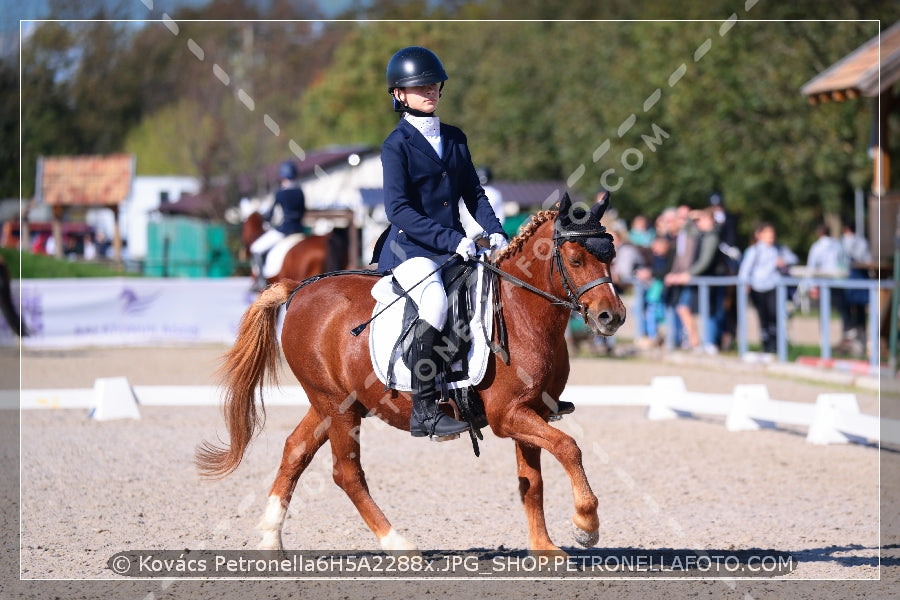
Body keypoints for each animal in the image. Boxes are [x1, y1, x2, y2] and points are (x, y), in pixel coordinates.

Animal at [201, 192, 624, 552]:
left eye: (612, 256)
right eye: (575, 259)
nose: (612, 316)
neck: (522, 314)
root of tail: (298, 289)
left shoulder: (534, 410)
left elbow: (533, 481)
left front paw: (544, 548)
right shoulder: (508, 415)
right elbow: (568, 448)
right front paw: (586, 526)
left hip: (331, 403)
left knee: (294, 451)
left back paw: (271, 540)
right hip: (337, 407)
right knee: (346, 474)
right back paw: (399, 545)